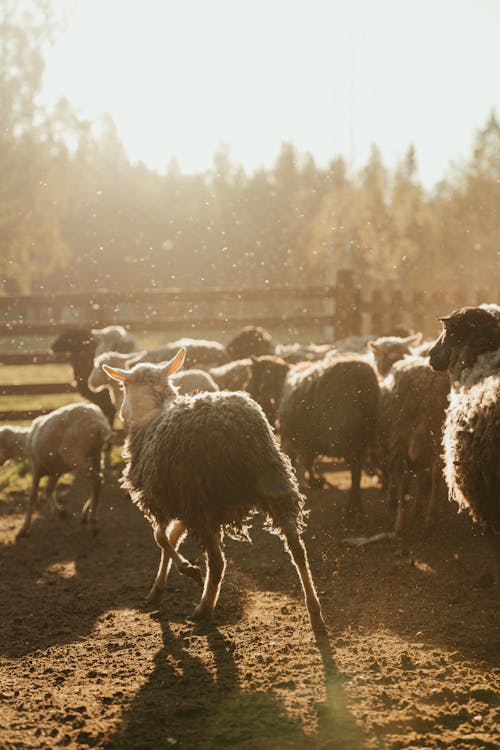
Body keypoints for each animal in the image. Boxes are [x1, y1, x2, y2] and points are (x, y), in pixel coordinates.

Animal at [0, 406, 111, 540]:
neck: (25, 441)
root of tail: (97, 424)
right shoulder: (57, 470)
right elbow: (48, 489)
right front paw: (59, 511)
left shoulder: (36, 467)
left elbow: (32, 497)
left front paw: (24, 528)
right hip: (96, 453)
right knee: (100, 480)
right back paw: (86, 513)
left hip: (74, 454)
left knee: (96, 480)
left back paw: (93, 524)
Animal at [103, 350, 326, 632]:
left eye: (123, 386)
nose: (121, 413)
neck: (153, 411)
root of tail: (237, 434)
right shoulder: (182, 504)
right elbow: (171, 538)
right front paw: (158, 589)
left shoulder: (162, 497)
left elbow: (161, 538)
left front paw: (187, 570)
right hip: (276, 484)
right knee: (298, 550)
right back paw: (315, 612)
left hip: (203, 498)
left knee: (218, 562)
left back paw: (203, 608)